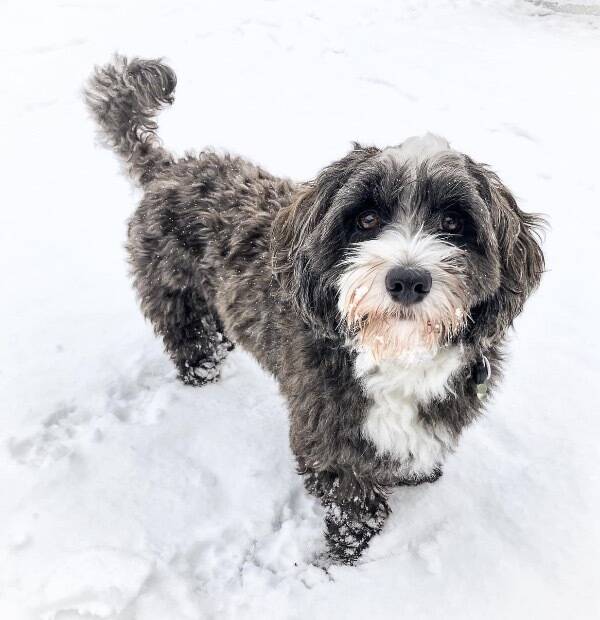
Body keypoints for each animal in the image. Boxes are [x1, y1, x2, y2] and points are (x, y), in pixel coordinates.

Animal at [84, 55, 544, 564]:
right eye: (366, 219)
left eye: (452, 223)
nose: (407, 280)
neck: (396, 354)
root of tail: (170, 168)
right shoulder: (326, 429)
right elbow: (351, 494)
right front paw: (350, 548)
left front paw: (417, 476)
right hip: (171, 286)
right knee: (184, 332)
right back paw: (202, 370)